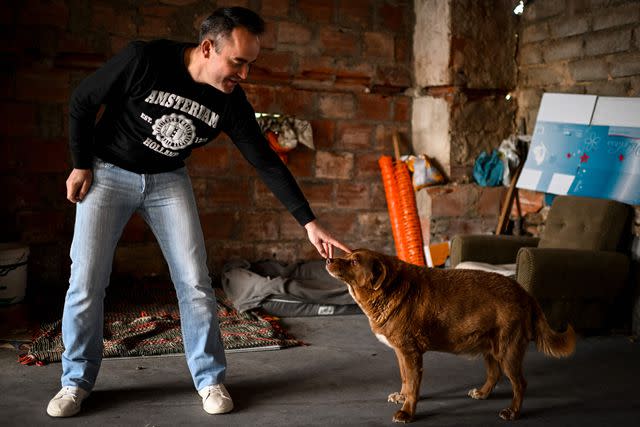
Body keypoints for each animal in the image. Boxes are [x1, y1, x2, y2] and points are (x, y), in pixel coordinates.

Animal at [324, 249, 576, 422]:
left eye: (354, 261)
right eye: (347, 254)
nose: (328, 259)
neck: (388, 289)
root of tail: (525, 293)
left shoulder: (411, 353)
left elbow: (413, 385)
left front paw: (407, 412)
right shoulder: (401, 353)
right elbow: (405, 379)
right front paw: (402, 397)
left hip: (508, 351)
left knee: (520, 384)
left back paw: (512, 411)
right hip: (490, 347)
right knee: (494, 374)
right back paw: (482, 393)